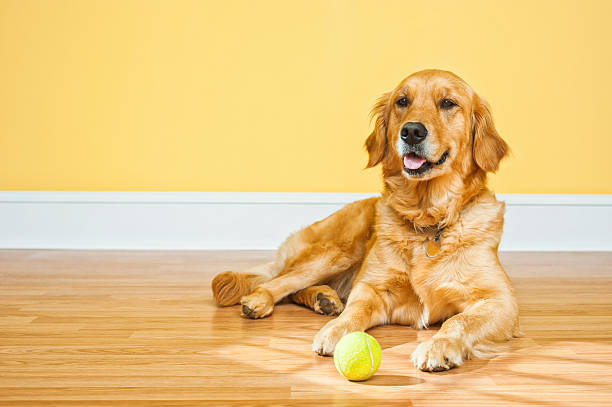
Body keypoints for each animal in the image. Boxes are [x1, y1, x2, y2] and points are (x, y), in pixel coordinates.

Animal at [213, 70, 520, 372]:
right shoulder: (371, 287)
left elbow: (459, 320)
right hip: (340, 250)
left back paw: (323, 298)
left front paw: (439, 346)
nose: (412, 131)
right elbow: (355, 310)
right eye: (402, 101)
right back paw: (263, 300)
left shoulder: (501, 300)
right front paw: (335, 329)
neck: (428, 221)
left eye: (447, 103)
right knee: (281, 282)